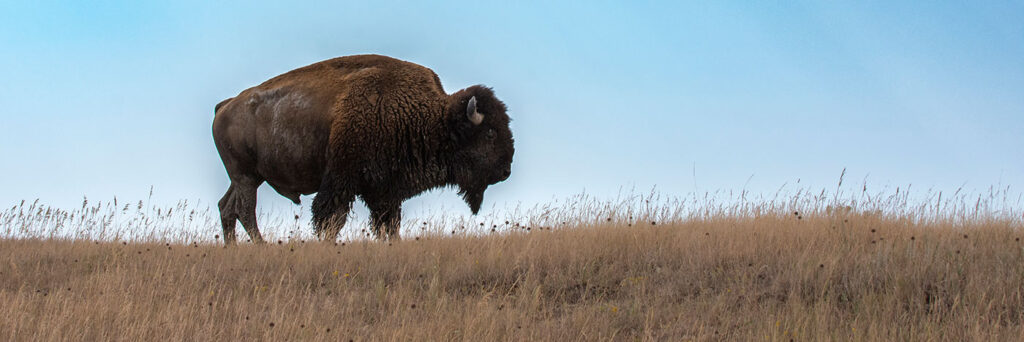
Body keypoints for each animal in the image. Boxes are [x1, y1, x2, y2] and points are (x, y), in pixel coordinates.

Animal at [210, 54, 512, 244]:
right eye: (490, 132)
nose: (506, 171)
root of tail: (226, 105)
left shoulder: (384, 189)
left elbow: (388, 223)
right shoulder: (342, 180)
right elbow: (330, 217)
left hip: (246, 178)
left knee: (227, 207)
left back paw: (232, 247)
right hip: (246, 177)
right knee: (245, 209)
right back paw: (261, 245)